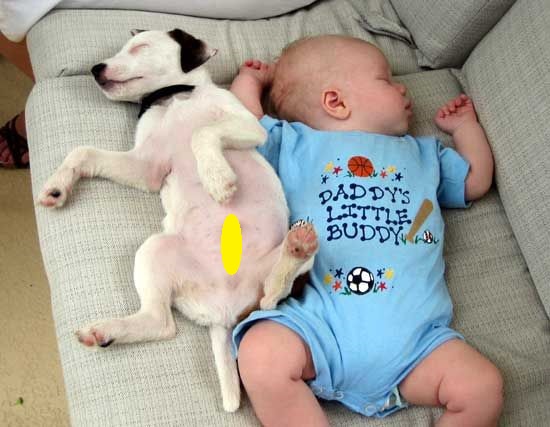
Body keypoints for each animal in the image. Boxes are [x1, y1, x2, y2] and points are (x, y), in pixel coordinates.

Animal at [38, 28, 320, 412]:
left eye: (139, 47)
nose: (96, 68)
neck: (174, 98)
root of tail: (224, 314)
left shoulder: (247, 124)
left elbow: (203, 133)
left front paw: (216, 177)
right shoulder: (146, 167)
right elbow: (83, 152)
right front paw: (56, 187)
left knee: (272, 296)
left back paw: (295, 249)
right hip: (155, 251)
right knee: (166, 322)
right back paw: (106, 331)